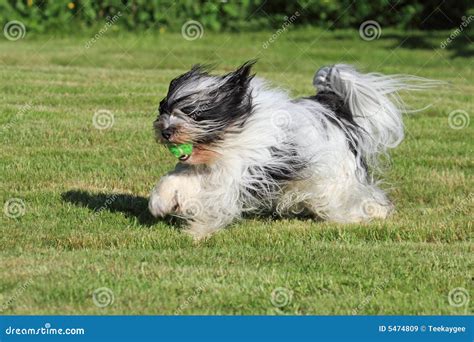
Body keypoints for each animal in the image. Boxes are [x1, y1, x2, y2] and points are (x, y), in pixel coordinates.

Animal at [149, 60, 430, 238]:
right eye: (164, 110)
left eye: (194, 113)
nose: (165, 131)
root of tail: (333, 107)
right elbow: (177, 176)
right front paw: (160, 202)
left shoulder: (241, 171)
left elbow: (215, 198)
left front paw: (197, 231)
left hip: (336, 177)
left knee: (353, 197)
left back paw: (373, 213)